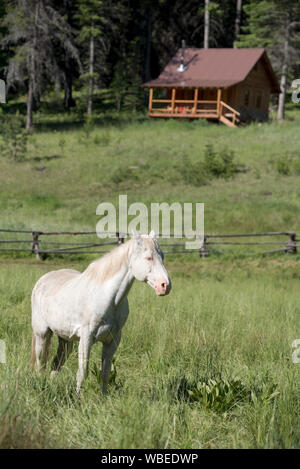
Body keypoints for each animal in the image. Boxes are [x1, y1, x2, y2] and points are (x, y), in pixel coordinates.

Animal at [31, 232, 171, 394]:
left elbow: (105, 373)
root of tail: (42, 280)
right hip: (42, 334)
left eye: (162, 257)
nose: (165, 286)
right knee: (40, 364)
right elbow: (82, 372)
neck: (107, 297)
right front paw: (77, 398)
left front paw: (102, 397)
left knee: (55, 365)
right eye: (148, 257)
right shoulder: (86, 338)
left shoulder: (112, 340)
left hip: (66, 340)